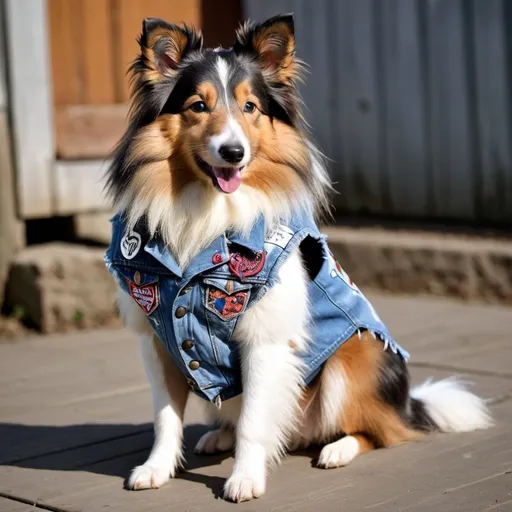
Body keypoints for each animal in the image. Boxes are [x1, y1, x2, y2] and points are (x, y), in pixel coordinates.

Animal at [105, 14, 492, 502]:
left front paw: (245, 479)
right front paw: (156, 469)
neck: (209, 214)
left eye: (250, 107)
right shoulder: (157, 337)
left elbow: (254, 421)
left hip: (356, 355)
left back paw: (337, 449)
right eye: (197, 106)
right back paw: (219, 436)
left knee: (377, 431)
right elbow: (165, 417)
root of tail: (406, 403)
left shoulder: (264, 338)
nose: (234, 152)